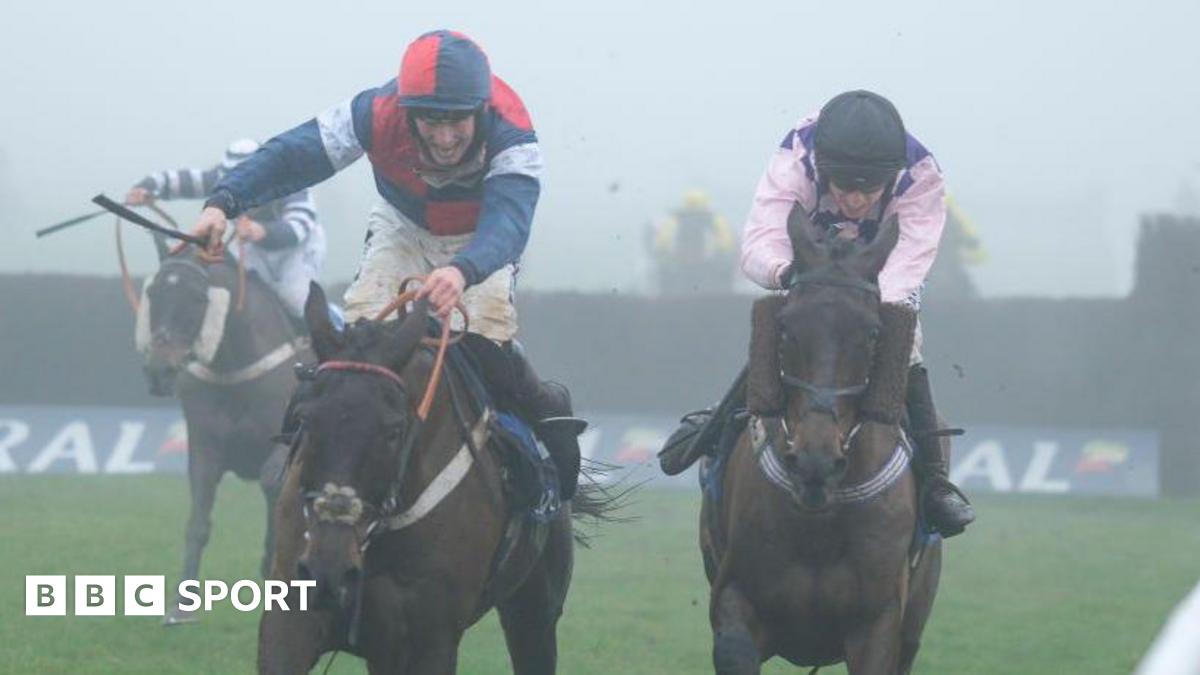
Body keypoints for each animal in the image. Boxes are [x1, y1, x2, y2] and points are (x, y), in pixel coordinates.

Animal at [137, 249, 307, 624]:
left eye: (197, 298)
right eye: (153, 293)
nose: (159, 370)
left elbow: (273, 484)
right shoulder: (203, 445)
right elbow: (199, 520)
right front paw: (181, 605)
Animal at [256, 281, 604, 667]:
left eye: (394, 431)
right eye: (304, 418)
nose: (328, 567)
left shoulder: (430, 636)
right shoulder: (291, 620)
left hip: (535, 608)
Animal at [700, 213, 945, 672]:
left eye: (873, 333)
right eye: (784, 327)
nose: (816, 463)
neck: (819, 526)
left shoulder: (879, 622)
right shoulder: (735, 592)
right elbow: (735, 644)